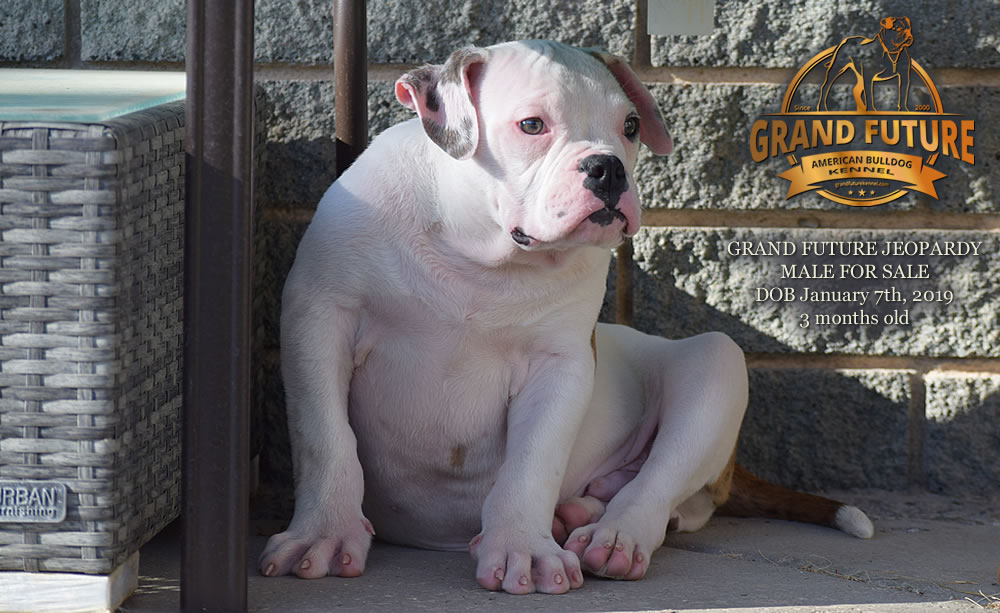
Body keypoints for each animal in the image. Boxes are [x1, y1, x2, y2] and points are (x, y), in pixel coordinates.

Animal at [260, 38, 876, 592]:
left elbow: (533, 463)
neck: (476, 250)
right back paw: (579, 513)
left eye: (631, 126)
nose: (607, 168)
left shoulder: (560, 367)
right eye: (532, 125)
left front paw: (523, 550)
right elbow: (325, 439)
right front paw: (324, 534)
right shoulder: (318, 320)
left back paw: (611, 535)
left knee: (662, 487)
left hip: (717, 364)